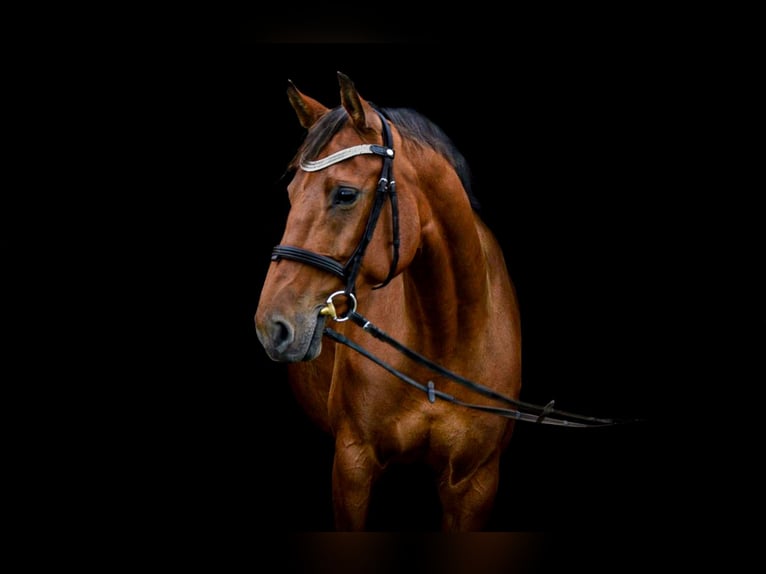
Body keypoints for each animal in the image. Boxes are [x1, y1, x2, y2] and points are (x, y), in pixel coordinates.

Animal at [254, 71, 523, 531]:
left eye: (345, 194)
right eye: (291, 193)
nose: (271, 324)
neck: (445, 342)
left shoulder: (476, 481)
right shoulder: (352, 465)